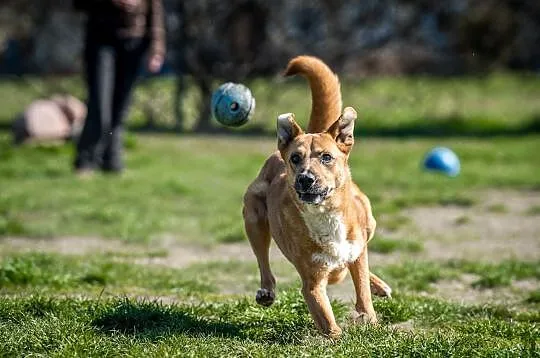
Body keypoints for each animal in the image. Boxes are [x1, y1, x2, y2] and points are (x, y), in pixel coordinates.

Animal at [243, 54, 390, 338]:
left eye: (326, 157)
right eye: (295, 159)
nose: (305, 179)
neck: (327, 216)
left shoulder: (356, 252)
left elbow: (363, 292)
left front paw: (371, 320)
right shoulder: (312, 282)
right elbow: (328, 322)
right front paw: (337, 336)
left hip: (369, 222)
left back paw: (378, 284)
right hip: (253, 218)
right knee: (263, 261)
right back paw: (266, 290)